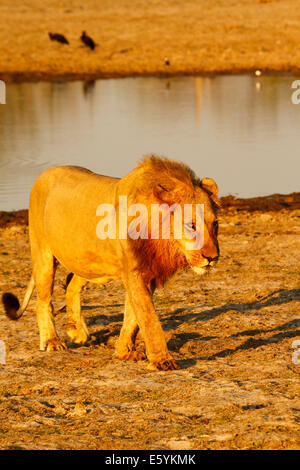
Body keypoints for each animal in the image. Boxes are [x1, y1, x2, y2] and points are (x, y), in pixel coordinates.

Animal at [1, 156, 219, 370]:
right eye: (191, 225)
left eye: (215, 224)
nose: (213, 257)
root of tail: (45, 173)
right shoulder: (134, 272)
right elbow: (148, 318)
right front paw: (162, 360)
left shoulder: (146, 274)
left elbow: (132, 317)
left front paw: (124, 352)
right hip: (43, 254)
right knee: (43, 301)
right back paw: (51, 341)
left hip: (86, 262)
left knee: (71, 284)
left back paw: (76, 331)